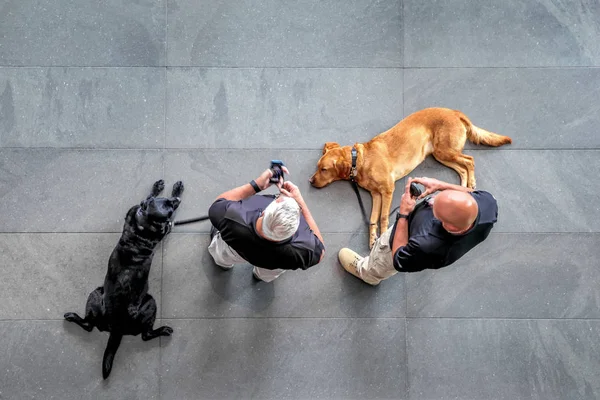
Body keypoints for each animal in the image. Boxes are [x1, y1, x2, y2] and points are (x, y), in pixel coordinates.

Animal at [64, 180, 184, 380]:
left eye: (168, 202)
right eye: (169, 208)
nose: (175, 201)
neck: (142, 224)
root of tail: (116, 328)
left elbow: (148, 196)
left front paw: (159, 188)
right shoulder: (165, 228)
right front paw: (176, 190)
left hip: (95, 294)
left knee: (88, 324)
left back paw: (72, 316)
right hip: (150, 303)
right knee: (145, 335)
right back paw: (164, 330)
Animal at [310, 108, 510, 248]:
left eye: (324, 169)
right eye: (317, 167)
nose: (310, 182)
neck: (358, 160)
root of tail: (454, 112)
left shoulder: (387, 190)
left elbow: (383, 217)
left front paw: (383, 237)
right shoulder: (375, 195)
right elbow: (373, 219)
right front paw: (372, 239)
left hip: (445, 150)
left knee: (469, 160)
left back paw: (471, 183)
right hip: (440, 154)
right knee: (462, 169)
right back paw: (462, 187)